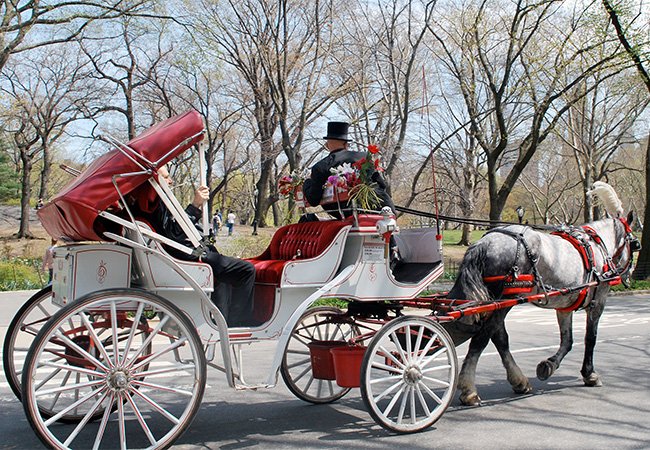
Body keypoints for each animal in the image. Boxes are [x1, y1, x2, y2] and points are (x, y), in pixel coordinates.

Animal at [442, 184, 636, 408]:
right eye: (636, 245)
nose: (629, 275)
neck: (597, 247)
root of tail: (485, 243)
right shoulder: (598, 301)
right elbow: (590, 338)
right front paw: (590, 374)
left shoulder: (564, 305)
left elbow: (567, 340)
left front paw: (549, 365)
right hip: (503, 301)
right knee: (482, 338)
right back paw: (469, 389)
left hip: (497, 302)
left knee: (499, 338)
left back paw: (518, 381)